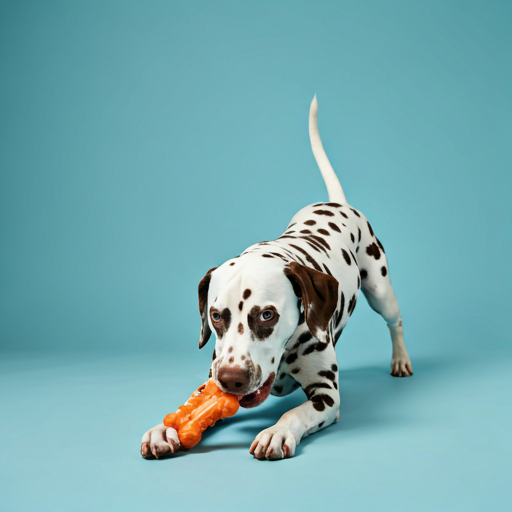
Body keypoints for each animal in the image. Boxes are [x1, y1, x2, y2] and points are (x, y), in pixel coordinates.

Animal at [140, 96, 412, 460]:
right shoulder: (210, 381)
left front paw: (276, 432)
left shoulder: (327, 396)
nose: (232, 378)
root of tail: (337, 203)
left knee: (394, 321)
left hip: (380, 289)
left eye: (267, 315)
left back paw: (401, 360)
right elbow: (191, 404)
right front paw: (164, 428)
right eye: (216, 316)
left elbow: (295, 412)